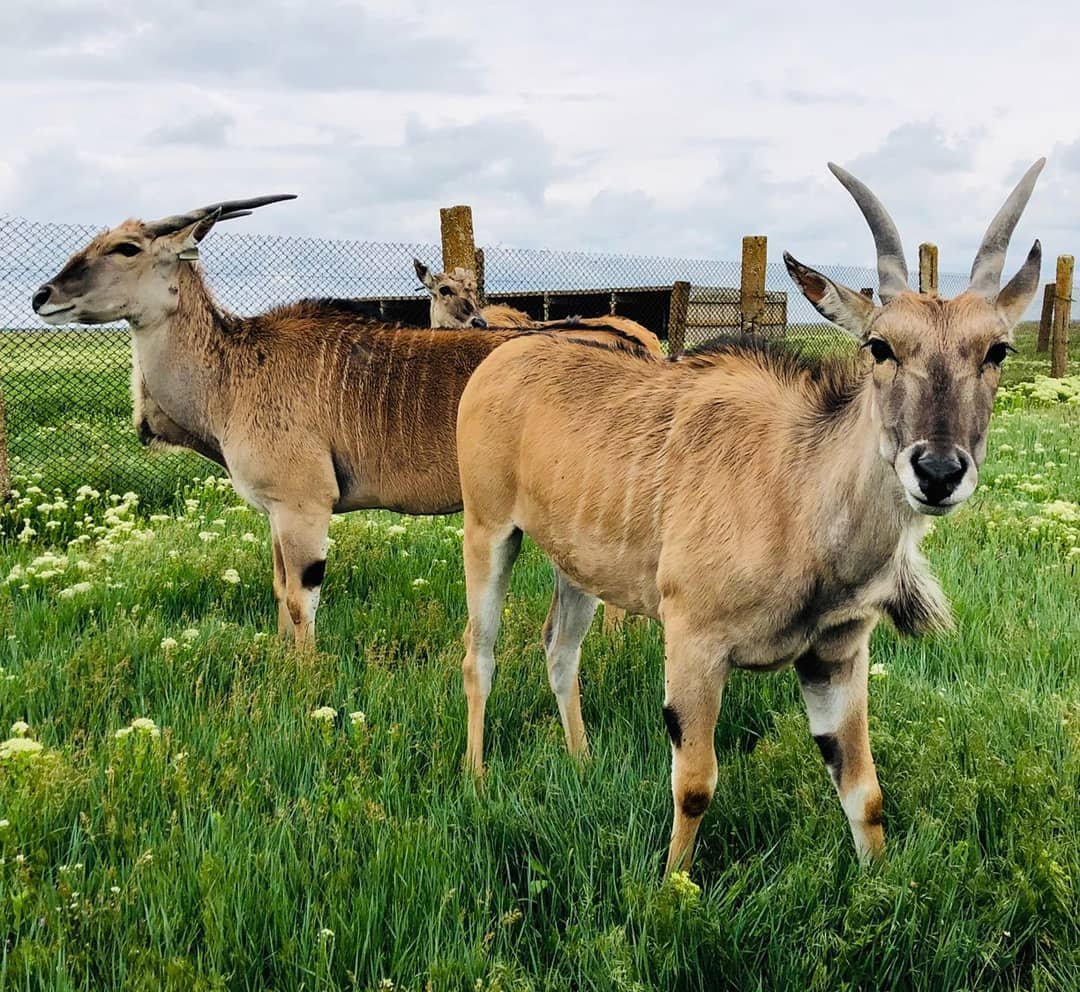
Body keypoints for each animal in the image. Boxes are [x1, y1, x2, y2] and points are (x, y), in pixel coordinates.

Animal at [451, 157, 1041, 876]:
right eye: (879, 346)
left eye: (997, 351)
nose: (936, 471)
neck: (796, 491)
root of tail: (500, 360)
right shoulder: (695, 643)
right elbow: (695, 785)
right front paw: (670, 889)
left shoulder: (835, 656)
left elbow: (865, 793)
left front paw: (877, 883)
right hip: (489, 533)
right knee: (479, 654)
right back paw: (477, 779)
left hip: (576, 566)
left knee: (560, 650)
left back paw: (581, 760)